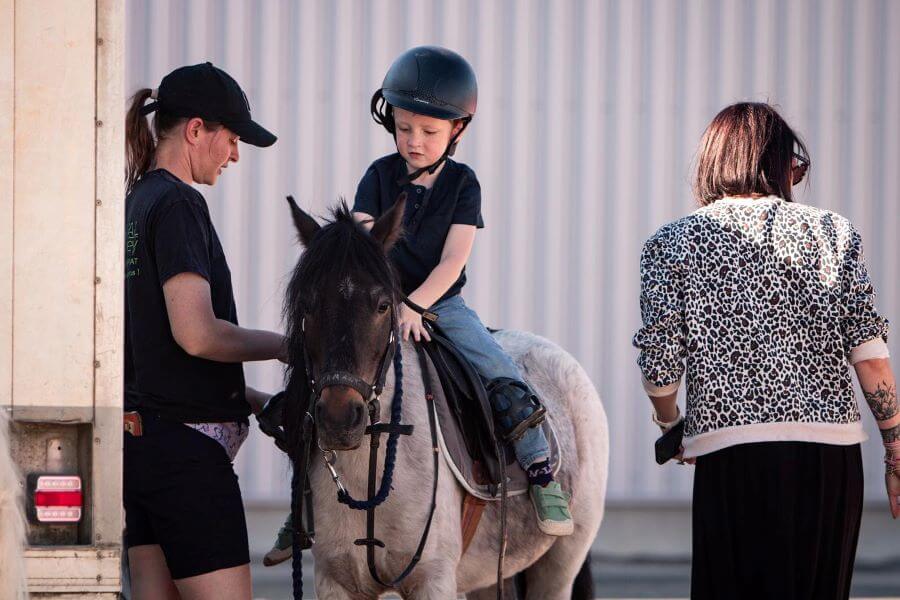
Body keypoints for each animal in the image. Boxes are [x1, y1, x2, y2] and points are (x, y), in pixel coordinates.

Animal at [280, 196, 604, 596]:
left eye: (383, 305)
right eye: (307, 305)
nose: (339, 419)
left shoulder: (433, 580)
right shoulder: (335, 582)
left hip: (561, 563)